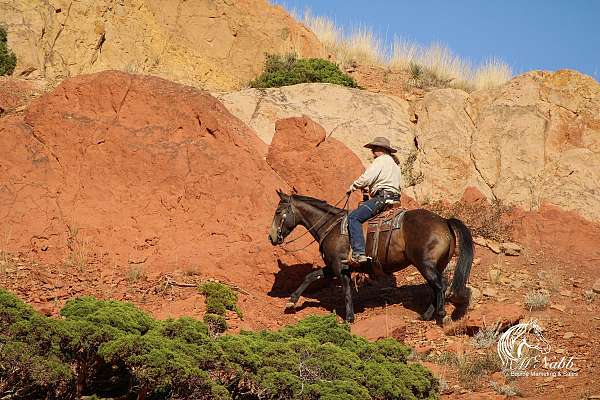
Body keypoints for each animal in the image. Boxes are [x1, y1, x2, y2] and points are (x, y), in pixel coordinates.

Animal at [268, 189, 474, 324]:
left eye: (278, 212)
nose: (271, 237)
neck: (331, 226)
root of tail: (444, 221)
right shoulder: (332, 266)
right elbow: (310, 276)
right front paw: (291, 301)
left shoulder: (340, 267)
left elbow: (346, 291)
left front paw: (349, 318)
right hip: (434, 265)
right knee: (436, 287)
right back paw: (425, 315)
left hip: (425, 265)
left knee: (440, 286)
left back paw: (440, 315)